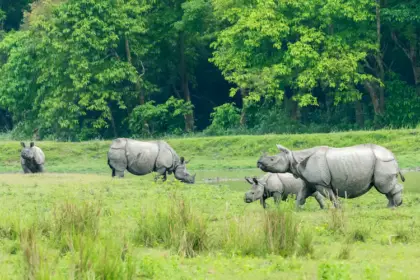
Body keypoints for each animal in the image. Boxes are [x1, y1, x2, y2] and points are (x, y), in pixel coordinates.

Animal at [258, 144, 406, 208]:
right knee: (385, 188)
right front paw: (296, 209)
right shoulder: (310, 182)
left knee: (383, 186)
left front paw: (338, 208)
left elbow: (330, 196)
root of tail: (393, 155)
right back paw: (390, 205)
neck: (294, 158)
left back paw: (396, 205)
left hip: (383, 161)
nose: (258, 163)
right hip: (382, 161)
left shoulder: (321, 182)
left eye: (272, 159)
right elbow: (301, 195)